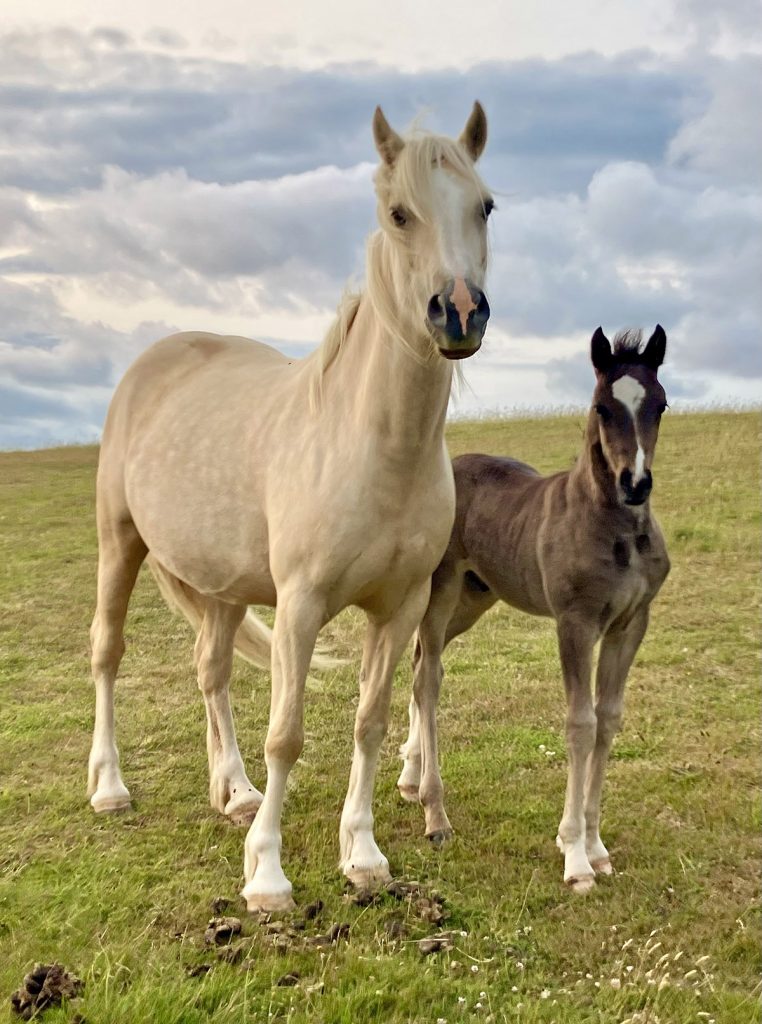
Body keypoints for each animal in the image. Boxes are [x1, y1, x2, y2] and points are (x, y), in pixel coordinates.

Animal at [87, 102, 495, 912]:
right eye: (399, 213)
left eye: (485, 206)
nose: (459, 313)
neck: (374, 445)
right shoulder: (301, 607)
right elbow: (289, 734)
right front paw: (268, 873)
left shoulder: (399, 609)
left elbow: (370, 722)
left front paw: (362, 854)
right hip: (120, 544)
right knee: (107, 652)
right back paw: (112, 789)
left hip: (219, 587)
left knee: (211, 671)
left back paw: (234, 791)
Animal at [397, 326, 671, 892]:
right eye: (602, 407)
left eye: (660, 404)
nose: (635, 484)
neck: (618, 532)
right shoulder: (575, 623)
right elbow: (580, 724)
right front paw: (575, 856)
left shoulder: (630, 624)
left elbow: (609, 719)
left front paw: (597, 846)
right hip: (440, 591)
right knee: (427, 678)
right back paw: (435, 814)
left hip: (474, 599)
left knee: (419, 664)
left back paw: (410, 779)